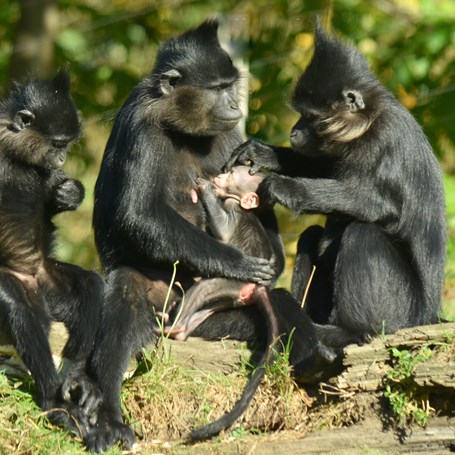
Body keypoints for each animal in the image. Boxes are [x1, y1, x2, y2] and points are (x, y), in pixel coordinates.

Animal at [0, 72, 103, 438]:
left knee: (92, 286)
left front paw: (69, 193)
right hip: (24, 285)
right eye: (57, 144)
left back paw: (76, 376)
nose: (60, 159)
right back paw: (52, 401)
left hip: (51, 280)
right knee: (21, 310)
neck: (14, 157)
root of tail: (36, 278)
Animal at [87, 18, 284, 452]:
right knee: (125, 300)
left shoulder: (230, 136)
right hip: (163, 288)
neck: (178, 125)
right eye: (218, 88)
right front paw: (237, 262)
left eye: (230, 86)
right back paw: (110, 417)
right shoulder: (141, 123)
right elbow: (137, 215)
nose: (234, 105)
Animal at [228, 23, 446, 340]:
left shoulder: (383, 138)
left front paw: (285, 187)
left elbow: (381, 206)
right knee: (312, 236)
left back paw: (350, 330)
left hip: (405, 309)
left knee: (363, 232)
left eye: (309, 116)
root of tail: (429, 315)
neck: (368, 120)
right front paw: (264, 154)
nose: (294, 132)